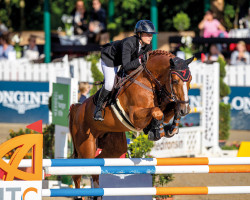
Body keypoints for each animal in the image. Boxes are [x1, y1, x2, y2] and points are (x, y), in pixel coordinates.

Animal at [68, 50, 193, 191]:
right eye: (175, 81)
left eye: (190, 80)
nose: (185, 110)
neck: (147, 81)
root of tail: (77, 108)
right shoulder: (135, 117)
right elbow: (157, 111)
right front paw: (157, 131)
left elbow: (169, 109)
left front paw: (171, 128)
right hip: (86, 146)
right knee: (79, 173)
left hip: (113, 148)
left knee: (98, 167)